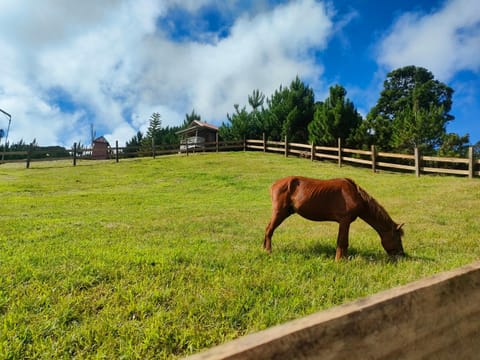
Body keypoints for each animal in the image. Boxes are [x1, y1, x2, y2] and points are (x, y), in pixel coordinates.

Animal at [264, 176, 404, 258]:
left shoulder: (345, 222)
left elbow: (344, 242)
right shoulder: (344, 221)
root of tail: (274, 184)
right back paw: (268, 251)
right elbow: (342, 242)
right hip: (279, 213)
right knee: (269, 230)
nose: (402, 255)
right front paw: (340, 260)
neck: (355, 194)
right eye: (397, 238)